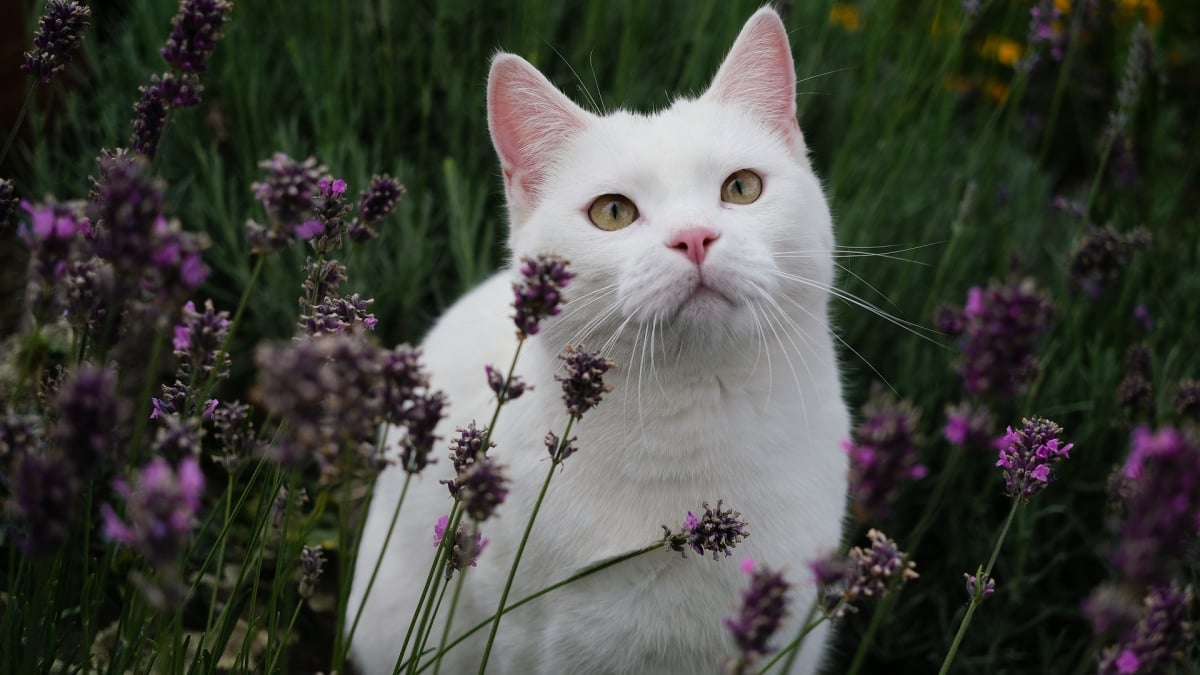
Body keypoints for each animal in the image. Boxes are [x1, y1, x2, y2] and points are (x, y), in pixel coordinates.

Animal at [350, 10, 849, 672]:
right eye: (613, 212)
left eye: (742, 188)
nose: (694, 237)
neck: (695, 416)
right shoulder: (523, 637)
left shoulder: (791, 637)